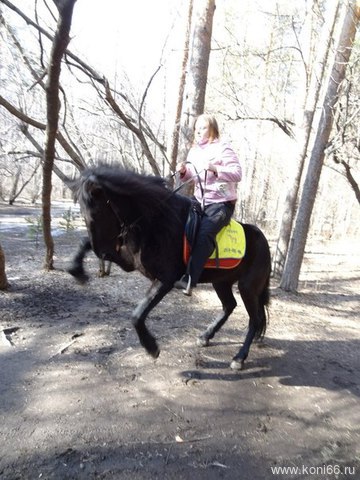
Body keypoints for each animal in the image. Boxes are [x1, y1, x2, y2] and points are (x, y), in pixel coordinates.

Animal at [68, 163, 270, 370]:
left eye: (96, 213)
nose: (103, 253)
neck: (155, 221)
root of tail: (264, 242)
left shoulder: (165, 279)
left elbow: (137, 315)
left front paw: (151, 348)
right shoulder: (128, 261)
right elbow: (84, 243)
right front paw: (76, 270)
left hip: (248, 287)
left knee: (255, 319)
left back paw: (239, 358)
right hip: (221, 282)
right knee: (229, 306)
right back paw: (206, 336)